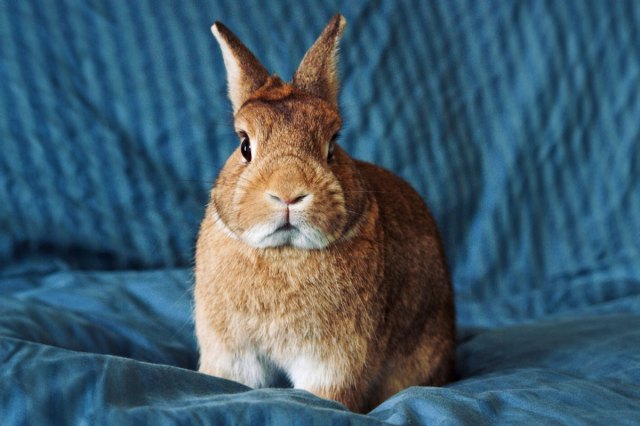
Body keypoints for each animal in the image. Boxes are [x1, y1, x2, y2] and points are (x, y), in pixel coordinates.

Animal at [194, 14, 456, 412]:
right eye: (244, 146)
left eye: (333, 145)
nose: (288, 192)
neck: (284, 252)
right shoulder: (233, 351)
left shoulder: (335, 360)